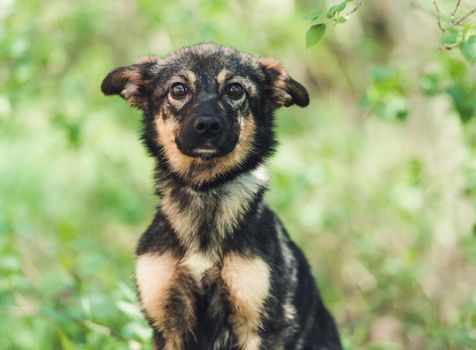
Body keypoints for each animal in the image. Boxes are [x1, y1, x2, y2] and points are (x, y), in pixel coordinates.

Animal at [101, 43, 342, 350]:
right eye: (178, 90)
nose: (207, 125)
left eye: (235, 90)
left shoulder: (262, 324)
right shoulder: (166, 324)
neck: (206, 193)